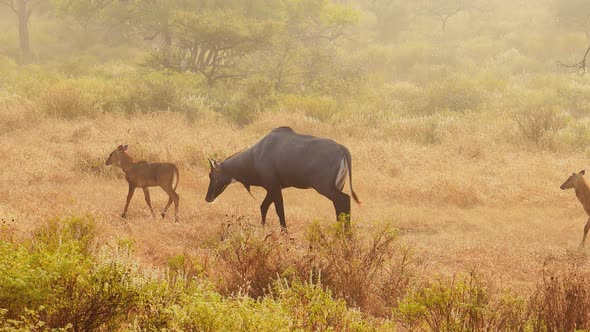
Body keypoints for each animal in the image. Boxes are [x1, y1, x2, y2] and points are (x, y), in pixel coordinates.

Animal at [206, 126, 360, 230]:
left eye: (212, 175)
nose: (208, 198)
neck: (255, 156)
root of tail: (343, 150)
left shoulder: (273, 186)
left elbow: (279, 210)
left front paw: (284, 233)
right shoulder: (272, 188)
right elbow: (263, 206)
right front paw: (263, 228)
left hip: (326, 187)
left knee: (344, 200)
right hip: (337, 186)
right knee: (340, 206)